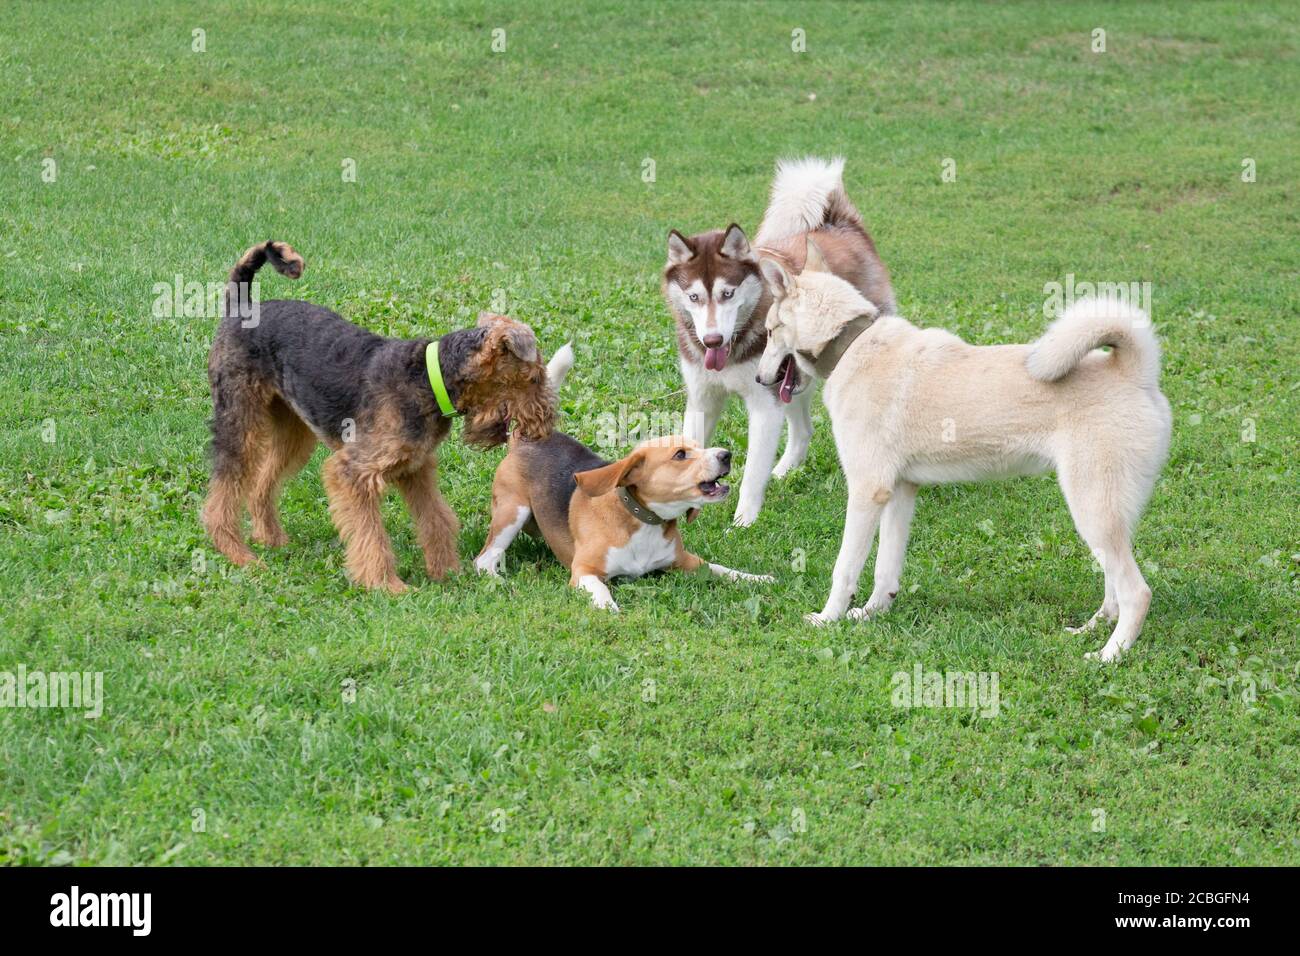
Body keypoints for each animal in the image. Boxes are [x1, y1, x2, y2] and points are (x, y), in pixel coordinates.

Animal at [201, 240, 553, 590]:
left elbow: (436, 518)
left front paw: (448, 572)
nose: (544, 427)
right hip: (239, 420)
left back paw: (270, 538)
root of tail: (242, 306)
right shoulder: (353, 472)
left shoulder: (416, 468)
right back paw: (238, 554)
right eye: (535, 378)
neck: (431, 378)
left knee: (261, 484)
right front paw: (386, 585)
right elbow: (371, 535)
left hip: (292, 431)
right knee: (220, 498)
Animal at [759, 243, 1175, 660]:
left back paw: (1110, 654)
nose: (760, 379)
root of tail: (1134, 373)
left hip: (1092, 509)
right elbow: (885, 569)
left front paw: (828, 618)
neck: (851, 344)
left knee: (1136, 592)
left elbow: (845, 567)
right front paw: (872, 612)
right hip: (1106, 515)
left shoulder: (866, 491)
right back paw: (1092, 629)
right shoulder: (900, 491)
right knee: (1113, 589)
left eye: (769, 330)